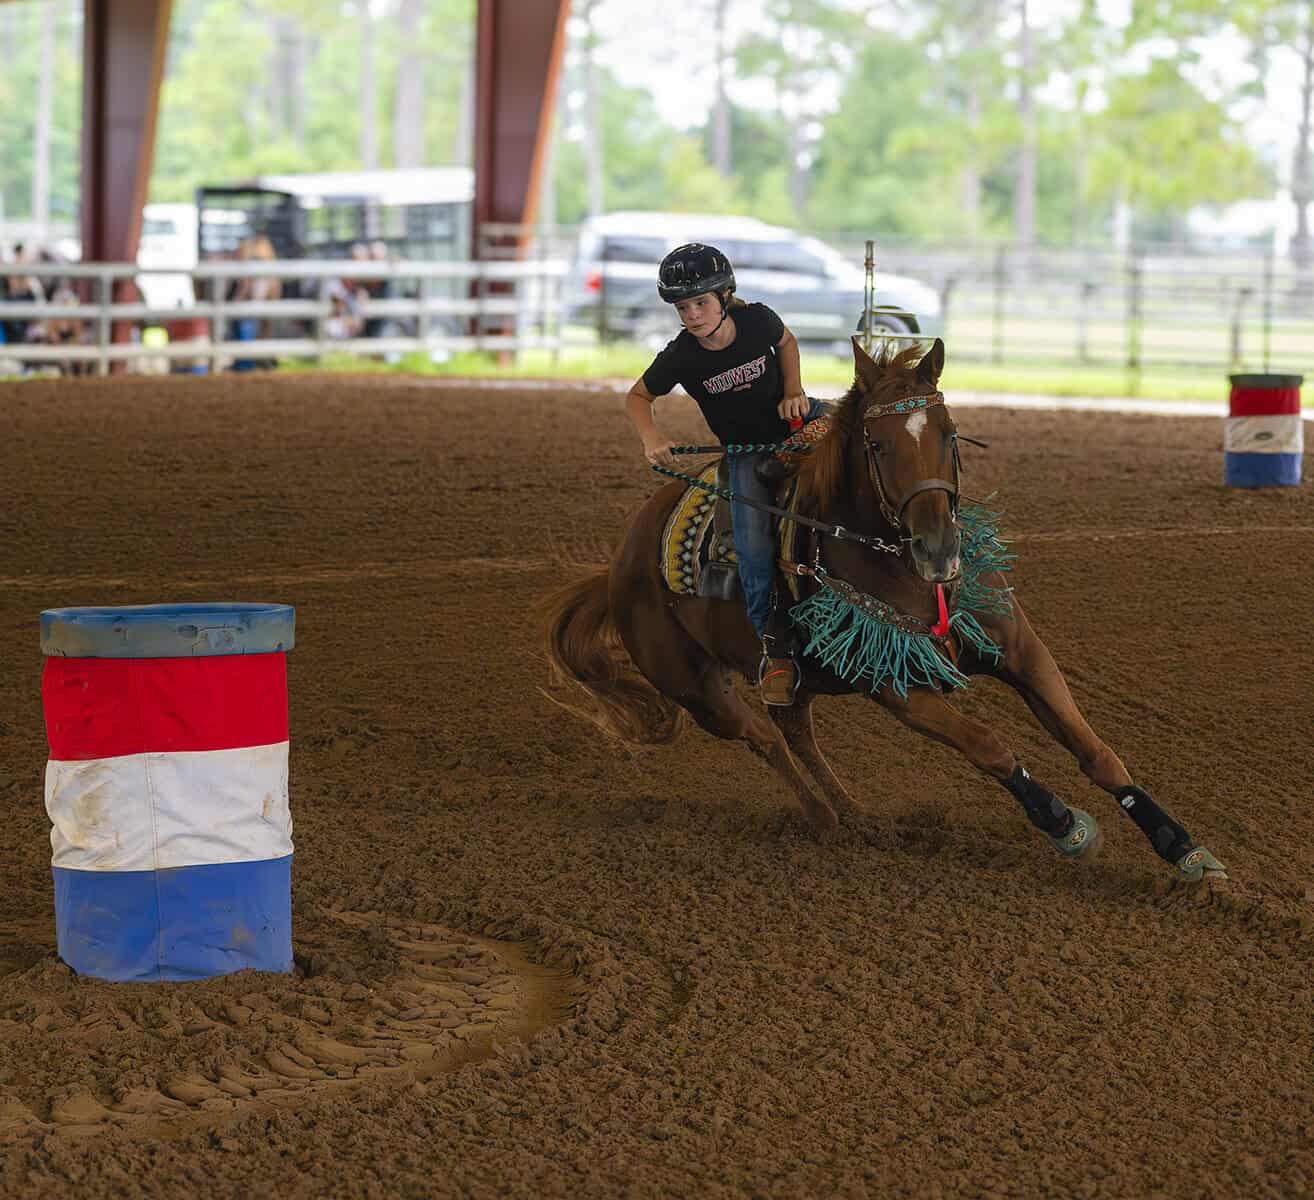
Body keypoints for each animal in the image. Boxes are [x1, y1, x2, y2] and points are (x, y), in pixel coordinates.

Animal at [543, 336, 1219, 877]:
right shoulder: (896, 686)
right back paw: (822, 818)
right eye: (878, 443)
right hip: (696, 689)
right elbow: (989, 746)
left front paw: (1182, 847)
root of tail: (619, 563)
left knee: (795, 727)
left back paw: (854, 811)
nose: (939, 548)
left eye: (948, 431)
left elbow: (1096, 750)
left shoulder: (1021, 650)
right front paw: (1066, 825)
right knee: (763, 738)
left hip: (789, 675)